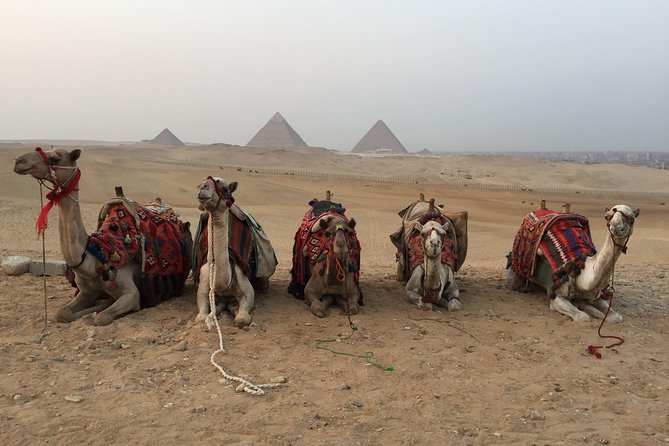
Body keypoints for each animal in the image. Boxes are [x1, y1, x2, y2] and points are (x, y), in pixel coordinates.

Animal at [14, 147, 192, 326]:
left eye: (55, 158)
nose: (19, 161)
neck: (94, 255)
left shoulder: (131, 294)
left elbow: (101, 318)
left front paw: (107, 308)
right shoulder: (86, 292)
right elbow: (62, 313)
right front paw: (93, 307)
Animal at [194, 177, 277, 328]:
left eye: (225, 187)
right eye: (199, 185)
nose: (203, 187)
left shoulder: (247, 291)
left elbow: (241, 319)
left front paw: (236, 310)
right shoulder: (203, 286)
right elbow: (201, 317)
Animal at [505, 203, 639, 322]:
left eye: (631, 219)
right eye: (608, 217)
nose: (617, 227)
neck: (581, 271)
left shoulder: (595, 296)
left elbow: (616, 317)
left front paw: (589, 307)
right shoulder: (556, 295)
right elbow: (582, 317)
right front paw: (583, 308)